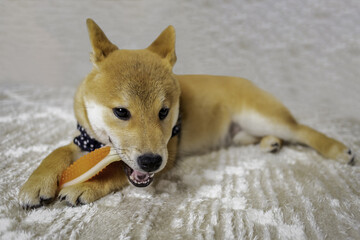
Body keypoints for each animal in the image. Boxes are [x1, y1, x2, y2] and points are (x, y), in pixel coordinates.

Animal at [19, 19, 354, 209]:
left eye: (164, 112)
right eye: (121, 111)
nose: (151, 161)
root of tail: (247, 81)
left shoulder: (168, 154)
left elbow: (114, 171)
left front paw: (85, 185)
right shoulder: (86, 139)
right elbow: (56, 152)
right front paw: (35, 183)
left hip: (261, 116)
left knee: (302, 131)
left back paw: (337, 149)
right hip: (243, 131)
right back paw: (270, 143)